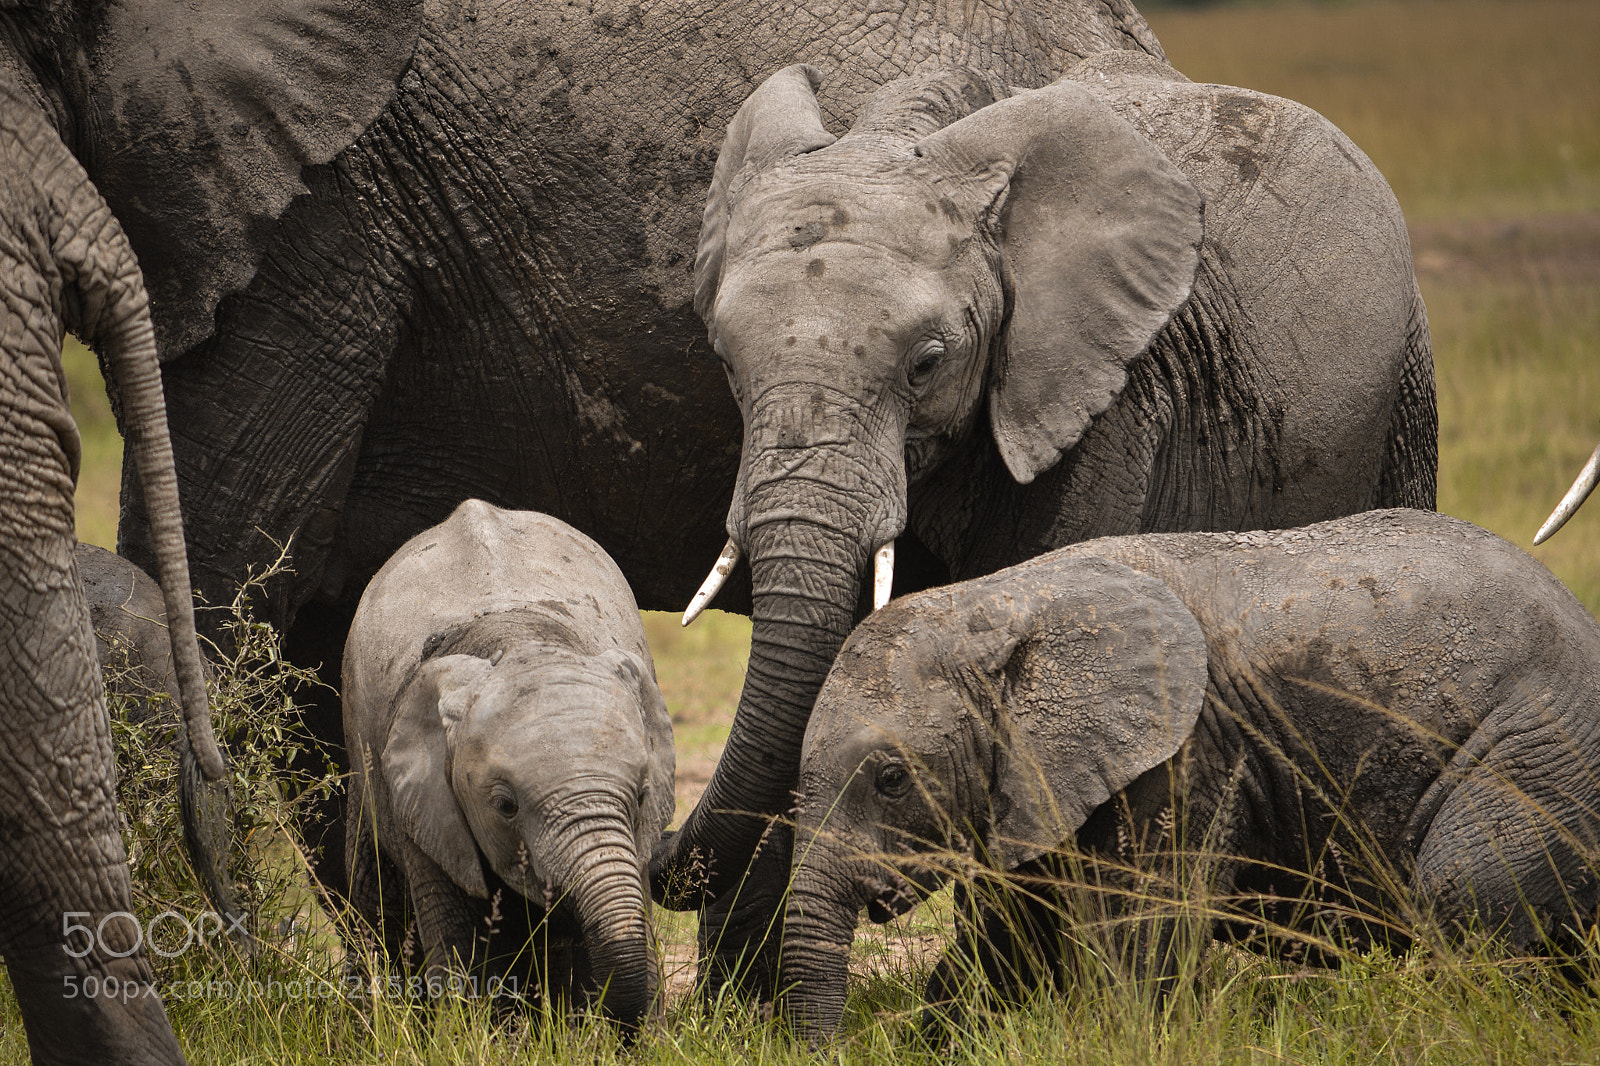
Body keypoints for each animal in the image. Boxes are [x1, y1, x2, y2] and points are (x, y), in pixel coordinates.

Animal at [342, 499, 675, 1030]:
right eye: (505, 806)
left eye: (643, 795)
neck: (521, 641)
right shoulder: (423, 803)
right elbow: (460, 942)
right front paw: (472, 1033)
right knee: (375, 896)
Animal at [654, 55, 1437, 985]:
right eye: (727, 362)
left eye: (927, 365)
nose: (659, 848)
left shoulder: (1107, 390)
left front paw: (989, 991)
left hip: (1403, 392)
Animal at [780, 508, 1600, 1043]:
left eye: (890, 779)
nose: (840, 1048)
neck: (999, 603)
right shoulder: (1035, 776)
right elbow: (1010, 942)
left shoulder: (1185, 754)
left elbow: (1143, 939)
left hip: (1541, 751)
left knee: (1466, 898)